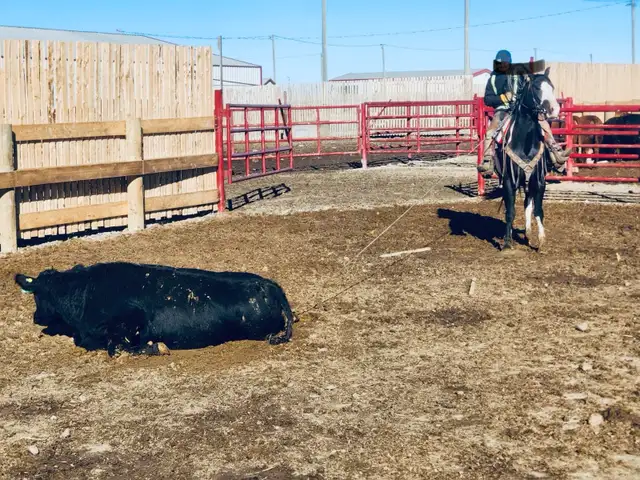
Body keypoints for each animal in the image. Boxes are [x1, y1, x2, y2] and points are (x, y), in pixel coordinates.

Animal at [493, 66, 562, 252]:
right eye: (537, 88)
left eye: (552, 87)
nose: (554, 109)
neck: (524, 143)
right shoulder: (509, 180)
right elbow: (510, 211)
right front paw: (507, 242)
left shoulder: (539, 180)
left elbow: (538, 209)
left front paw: (541, 240)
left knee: (527, 202)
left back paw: (528, 233)